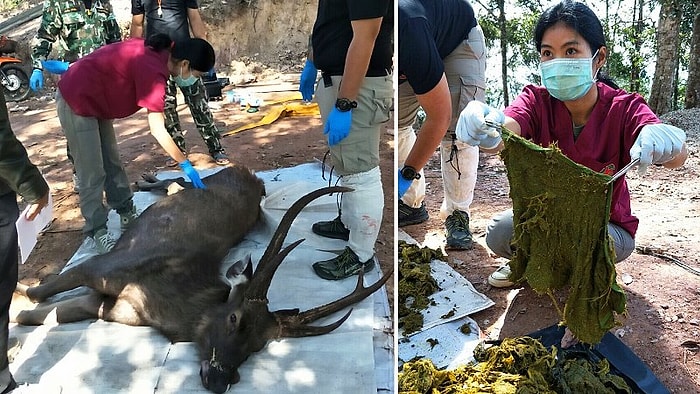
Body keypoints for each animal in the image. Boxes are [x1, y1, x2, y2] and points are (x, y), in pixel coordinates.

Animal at [13, 165, 392, 392]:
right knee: (179, 180)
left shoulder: (107, 306)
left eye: (259, 345)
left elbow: (38, 315)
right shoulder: (101, 267)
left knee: (175, 183)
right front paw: (19, 289)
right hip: (204, 182)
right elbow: (38, 295)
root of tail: (252, 175)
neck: (165, 304)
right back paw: (146, 179)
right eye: (234, 318)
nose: (221, 379)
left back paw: (147, 180)